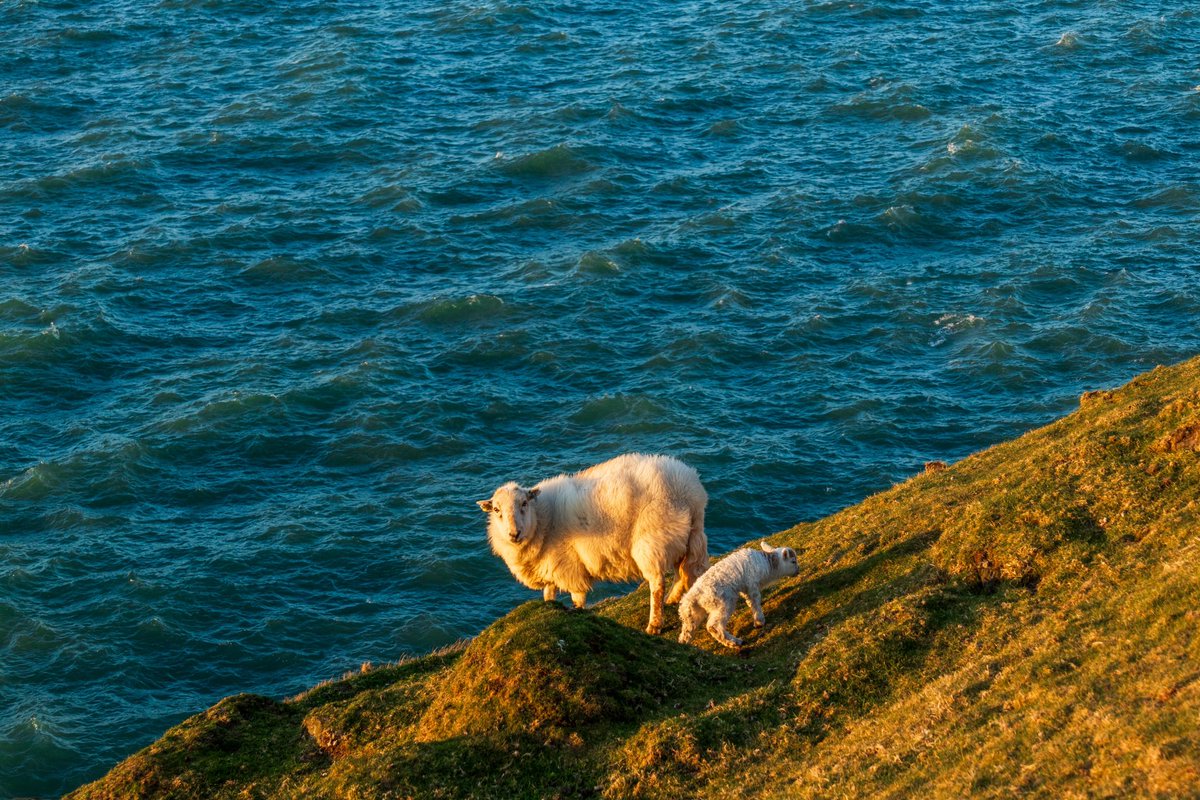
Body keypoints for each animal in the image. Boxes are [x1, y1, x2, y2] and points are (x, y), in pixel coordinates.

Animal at [475, 453, 705, 633]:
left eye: (524, 503)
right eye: (496, 510)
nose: (514, 534)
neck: (542, 520)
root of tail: (691, 492)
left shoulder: (568, 566)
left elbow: (577, 597)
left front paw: (577, 612)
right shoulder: (549, 566)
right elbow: (549, 594)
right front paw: (550, 607)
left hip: (652, 541)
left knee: (657, 583)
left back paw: (654, 624)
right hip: (685, 539)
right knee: (683, 573)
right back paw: (672, 600)